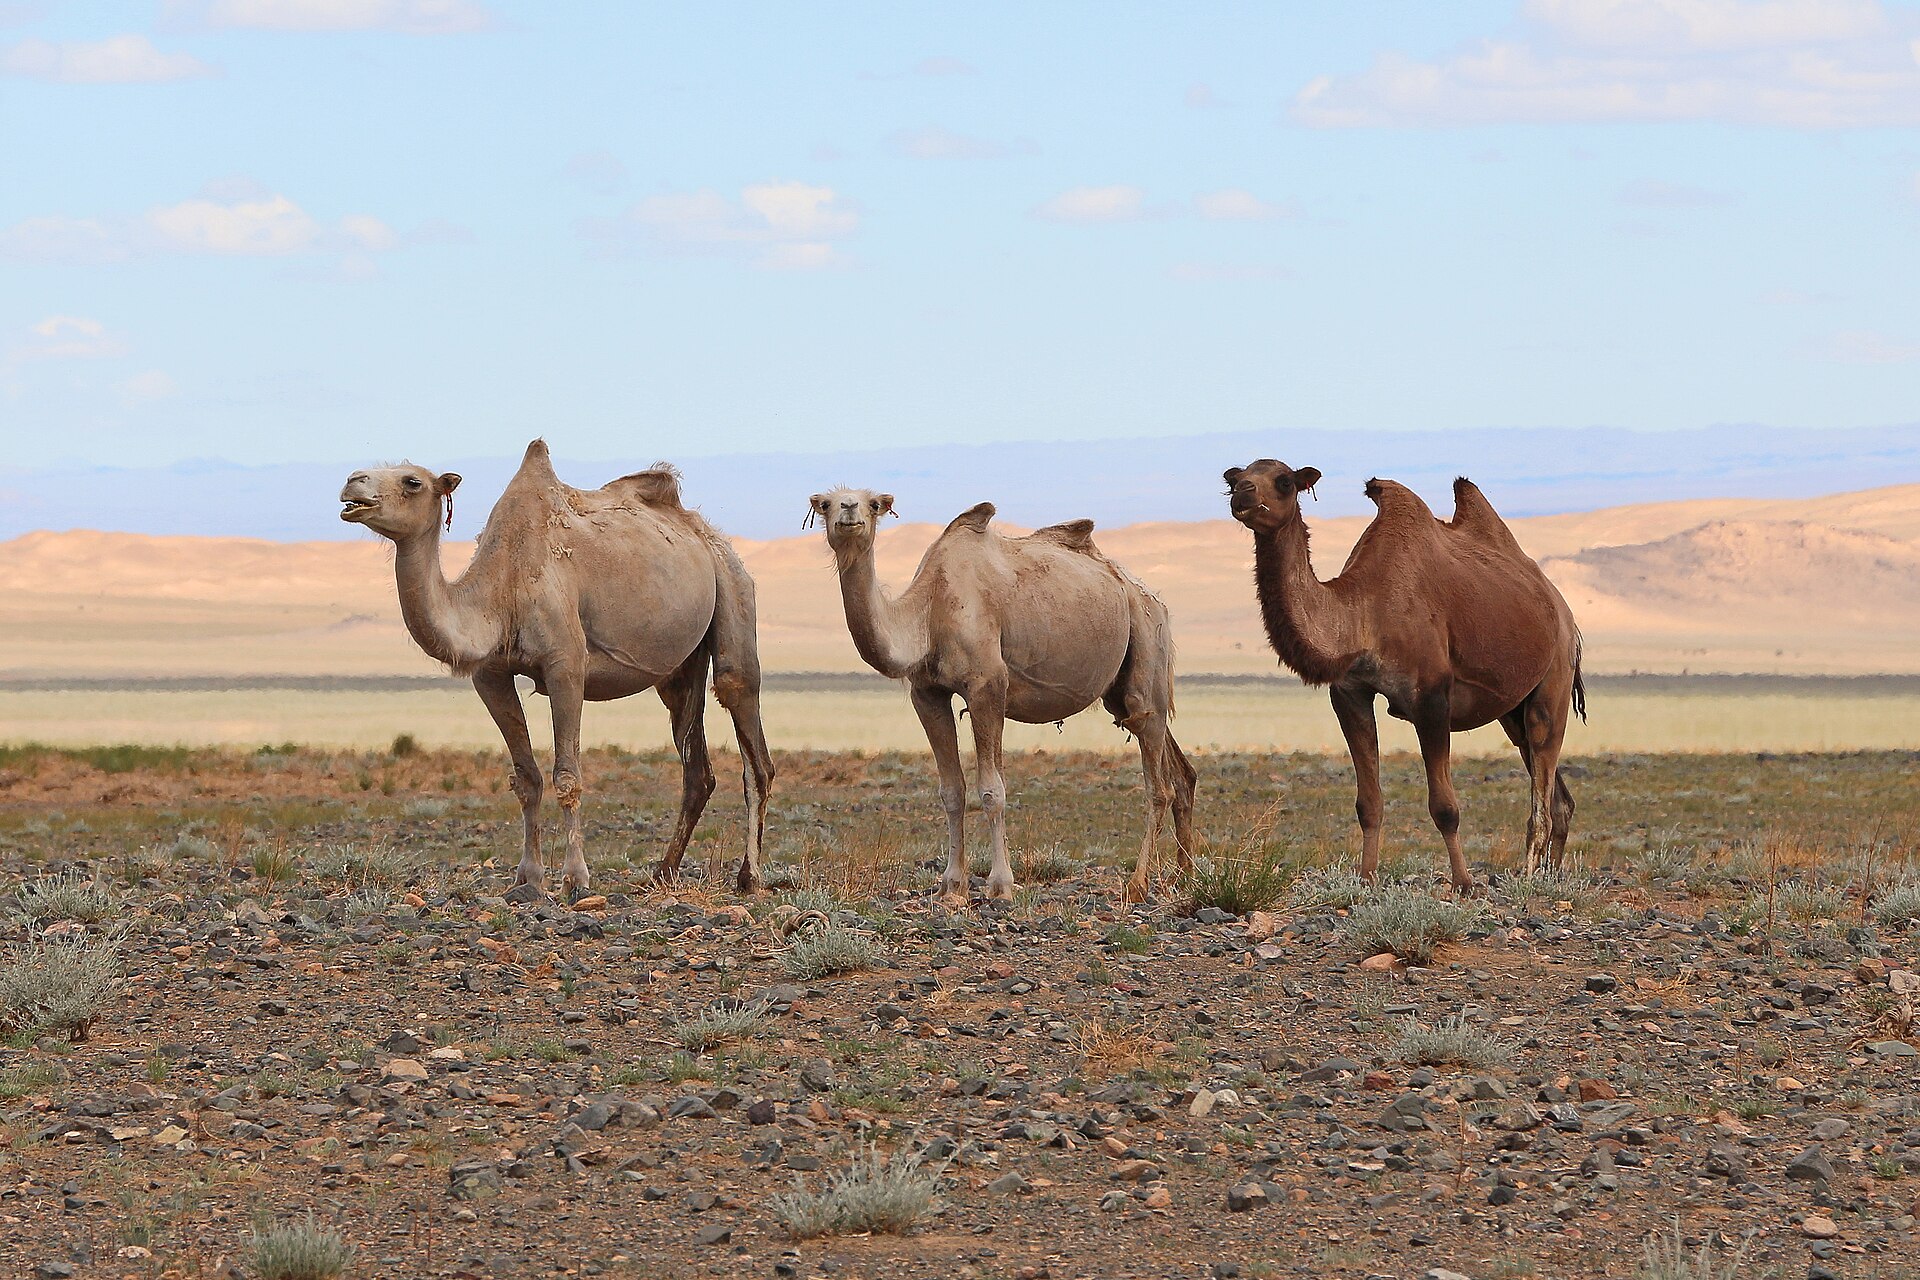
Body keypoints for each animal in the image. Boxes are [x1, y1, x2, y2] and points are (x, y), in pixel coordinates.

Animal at [339, 440, 774, 900]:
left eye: (412, 481)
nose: (352, 481)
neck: (502, 589)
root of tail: (705, 532)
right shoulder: (491, 676)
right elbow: (526, 778)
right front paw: (528, 876)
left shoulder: (565, 666)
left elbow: (567, 776)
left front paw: (576, 878)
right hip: (680, 664)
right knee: (696, 765)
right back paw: (663, 871)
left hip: (733, 586)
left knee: (743, 711)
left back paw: (749, 877)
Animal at [807, 488, 1195, 905]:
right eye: (825, 504)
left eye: (873, 504)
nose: (849, 510)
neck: (930, 610)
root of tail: (1155, 599)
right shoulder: (927, 694)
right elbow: (951, 791)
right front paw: (951, 884)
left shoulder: (988, 687)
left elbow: (992, 790)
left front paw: (1001, 884)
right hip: (1118, 690)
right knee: (1178, 770)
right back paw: (1186, 876)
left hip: (1147, 645)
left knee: (1158, 782)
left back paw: (1139, 883)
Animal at [1222, 460, 1585, 890]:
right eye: (1236, 476)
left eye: (1284, 481)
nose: (1242, 493)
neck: (1363, 615)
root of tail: (1564, 611)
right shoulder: (1350, 693)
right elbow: (1369, 803)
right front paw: (1366, 878)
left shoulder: (1431, 698)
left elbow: (1445, 807)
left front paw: (1463, 883)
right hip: (1511, 710)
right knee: (1555, 792)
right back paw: (1552, 873)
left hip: (1554, 677)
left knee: (1542, 774)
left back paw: (1528, 876)